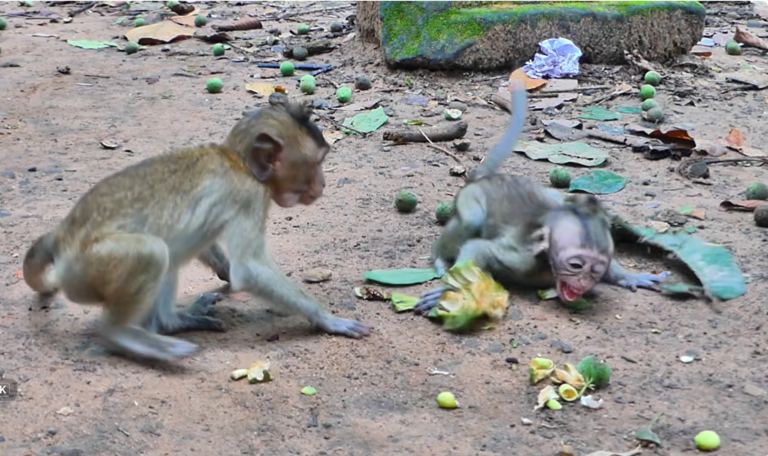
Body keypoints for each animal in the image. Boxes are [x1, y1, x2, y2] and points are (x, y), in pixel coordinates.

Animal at [22, 99, 370, 362]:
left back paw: (171, 322)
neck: (238, 161)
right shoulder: (248, 195)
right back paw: (123, 336)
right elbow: (249, 268)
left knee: (169, 253)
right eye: (318, 163)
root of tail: (61, 236)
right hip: (86, 271)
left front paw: (223, 271)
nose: (323, 184)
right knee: (153, 251)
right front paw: (326, 319)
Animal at [413, 77, 670, 314]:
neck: (548, 265)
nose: (583, 283)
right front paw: (448, 290)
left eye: (596, 270)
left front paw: (630, 276)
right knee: (471, 221)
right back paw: (440, 257)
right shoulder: (521, 258)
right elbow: (477, 250)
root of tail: (484, 179)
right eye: (576, 265)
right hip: (471, 197)